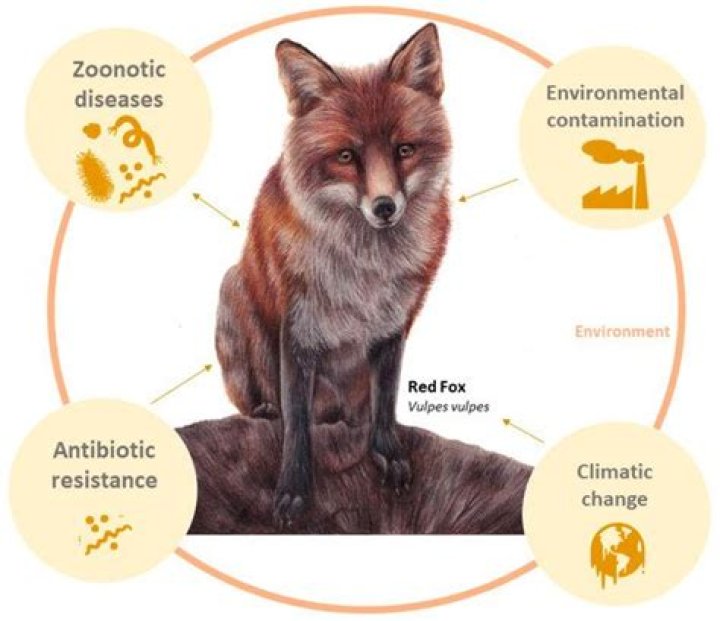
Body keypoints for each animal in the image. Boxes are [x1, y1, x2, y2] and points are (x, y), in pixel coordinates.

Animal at [215, 23, 451, 527]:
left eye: (404, 150)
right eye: (346, 156)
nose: (385, 207)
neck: (364, 272)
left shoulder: (393, 325)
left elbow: (385, 405)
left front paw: (387, 453)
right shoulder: (298, 330)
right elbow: (298, 426)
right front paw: (293, 490)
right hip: (232, 293)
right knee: (269, 408)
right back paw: (265, 410)